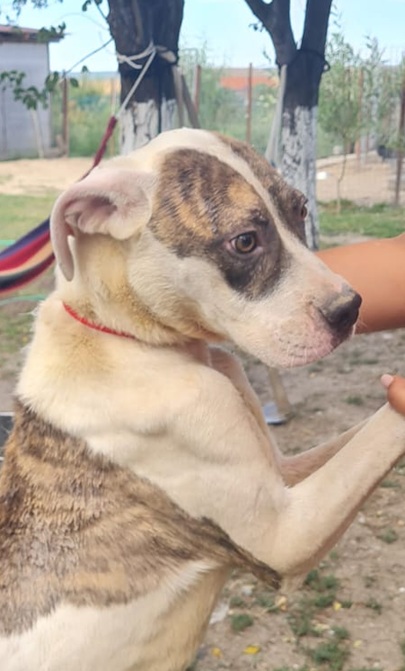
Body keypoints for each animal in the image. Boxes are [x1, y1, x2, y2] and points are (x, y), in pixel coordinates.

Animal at [1, 128, 405, 671]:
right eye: (245, 241)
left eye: (300, 211)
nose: (349, 309)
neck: (128, 340)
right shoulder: (285, 535)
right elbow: (381, 431)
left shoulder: (282, 472)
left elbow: (361, 434)